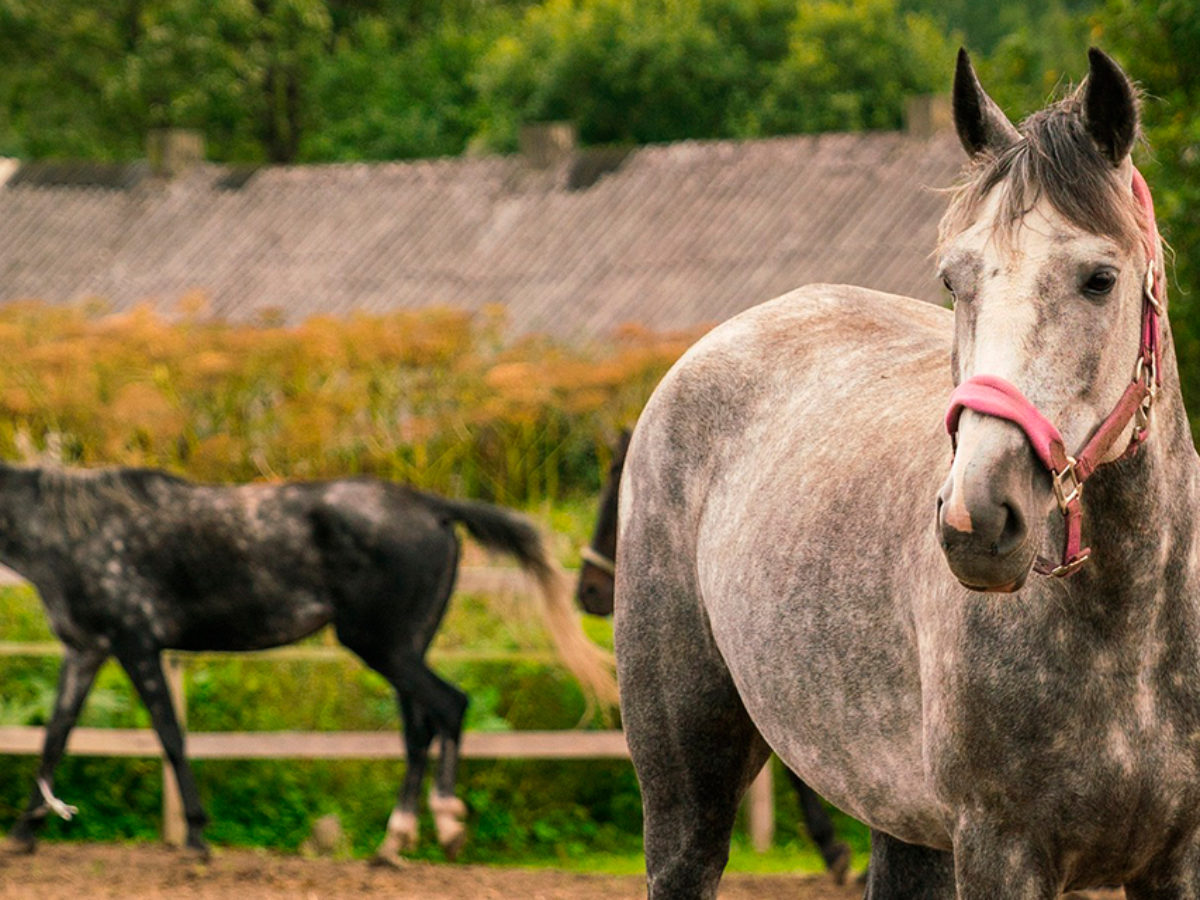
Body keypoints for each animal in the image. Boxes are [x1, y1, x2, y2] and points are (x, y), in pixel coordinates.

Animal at [0, 465, 614, 868]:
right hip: (403, 649)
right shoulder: (86, 650)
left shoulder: (135, 644)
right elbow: (55, 736)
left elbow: (169, 736)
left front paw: (197, 839)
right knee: (419, 732)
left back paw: (446, 826)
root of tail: (434, 507)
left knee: (450, 707)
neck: (70, 532)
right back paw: (393, 843)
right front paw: (24, 833)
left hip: (383, 647)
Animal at [614, 51, 1200, 900]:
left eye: (1099, 279)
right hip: (686, 784)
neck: (1132, 633)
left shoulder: (1177, 856)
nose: (977, 519)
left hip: (903, 821)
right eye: (954, 280)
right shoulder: (999, 848)